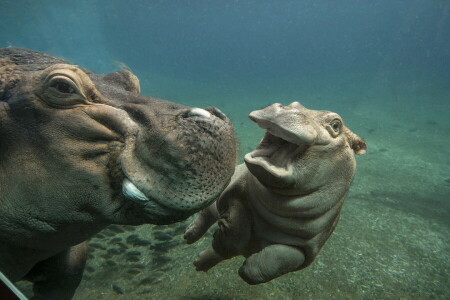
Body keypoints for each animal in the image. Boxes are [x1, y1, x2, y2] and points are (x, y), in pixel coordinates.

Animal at [185, 102, 368, 284]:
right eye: (295, 103)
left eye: (336, 125)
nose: (286, 108)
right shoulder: (235, 193)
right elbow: (236, 231)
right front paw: (220, 236)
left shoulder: (307, 248)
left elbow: (282, 259)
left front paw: (245, 269)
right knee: (207, 213)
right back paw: (189, 236)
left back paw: (198, 262)